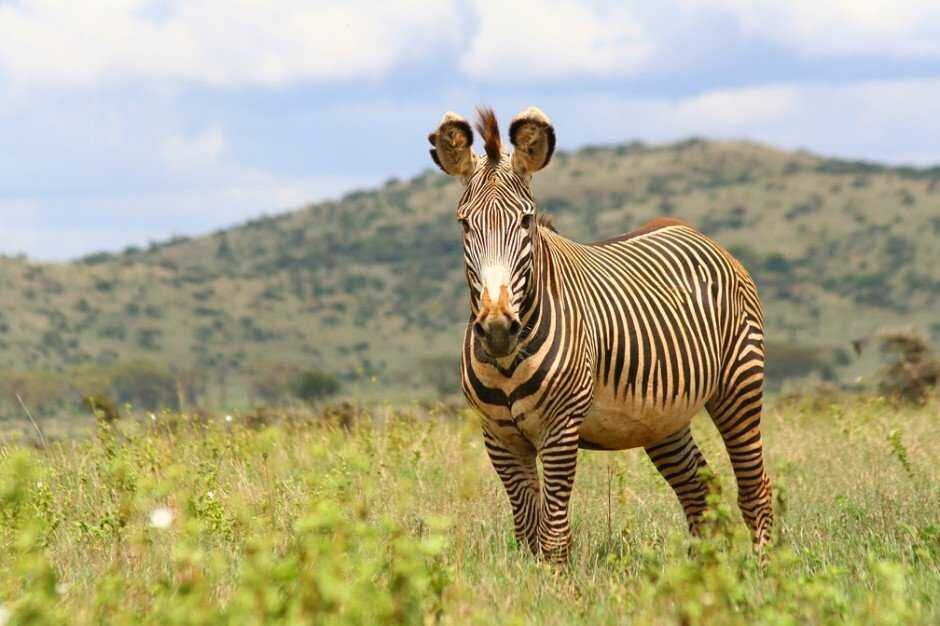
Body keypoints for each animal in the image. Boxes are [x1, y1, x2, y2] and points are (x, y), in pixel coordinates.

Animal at [430, 107, 776, 560]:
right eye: (464, 225)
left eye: (526, 220)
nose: (498, 328)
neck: (506, 362)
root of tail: (691, 229)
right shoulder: (499, 438)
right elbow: (527, 534)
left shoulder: (560, 430)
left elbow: (554, 536)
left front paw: (555, 581)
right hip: (661, 417)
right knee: (699, 490)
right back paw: (702, 574)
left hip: (739, 383)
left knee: (755, 488)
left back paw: (764, 568)